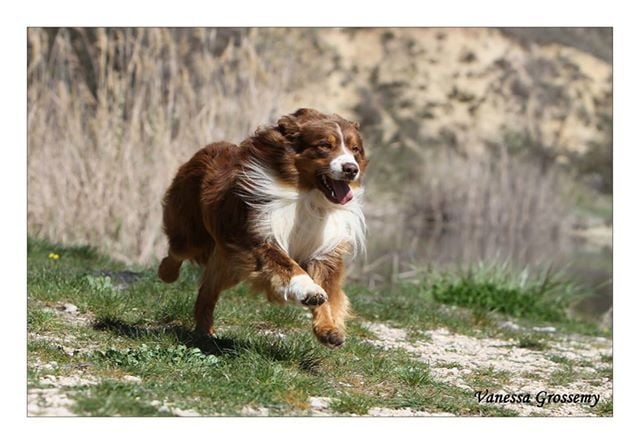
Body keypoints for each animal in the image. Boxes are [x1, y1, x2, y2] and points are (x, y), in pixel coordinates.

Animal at [158, 107, 368, 346]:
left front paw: (329, 329)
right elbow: (287, 265)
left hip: (231, 261)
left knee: (207, 290)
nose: (351, 169)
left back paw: (205, 332)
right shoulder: (259, 236)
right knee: (177, 251)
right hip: (193, 234)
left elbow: (328, 292)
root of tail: (209, 147)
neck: (307, 196)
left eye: (355, 150)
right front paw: (309, 290)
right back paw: (166, 274)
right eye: (324, 145)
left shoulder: (324, 250)